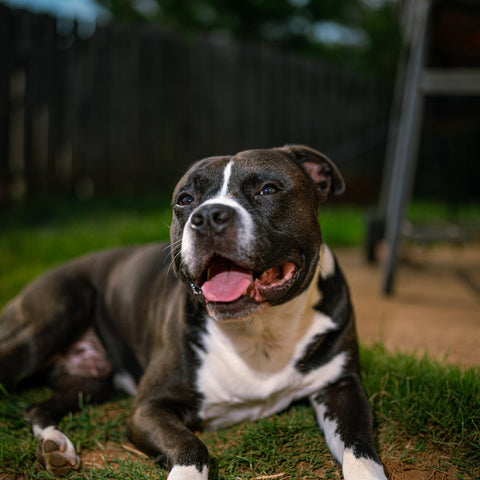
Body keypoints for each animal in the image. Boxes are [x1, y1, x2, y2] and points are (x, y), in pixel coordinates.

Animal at [0, 144, 386, 478]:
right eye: (186, 200)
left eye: (268, 189)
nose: (209, 216)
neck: (259, 331)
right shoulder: (149, 408)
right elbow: (191, 447)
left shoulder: (341, 386)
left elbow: (360, 447)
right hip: (50, 321)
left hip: (91, 380)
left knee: (38, 408)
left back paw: (55, 445)